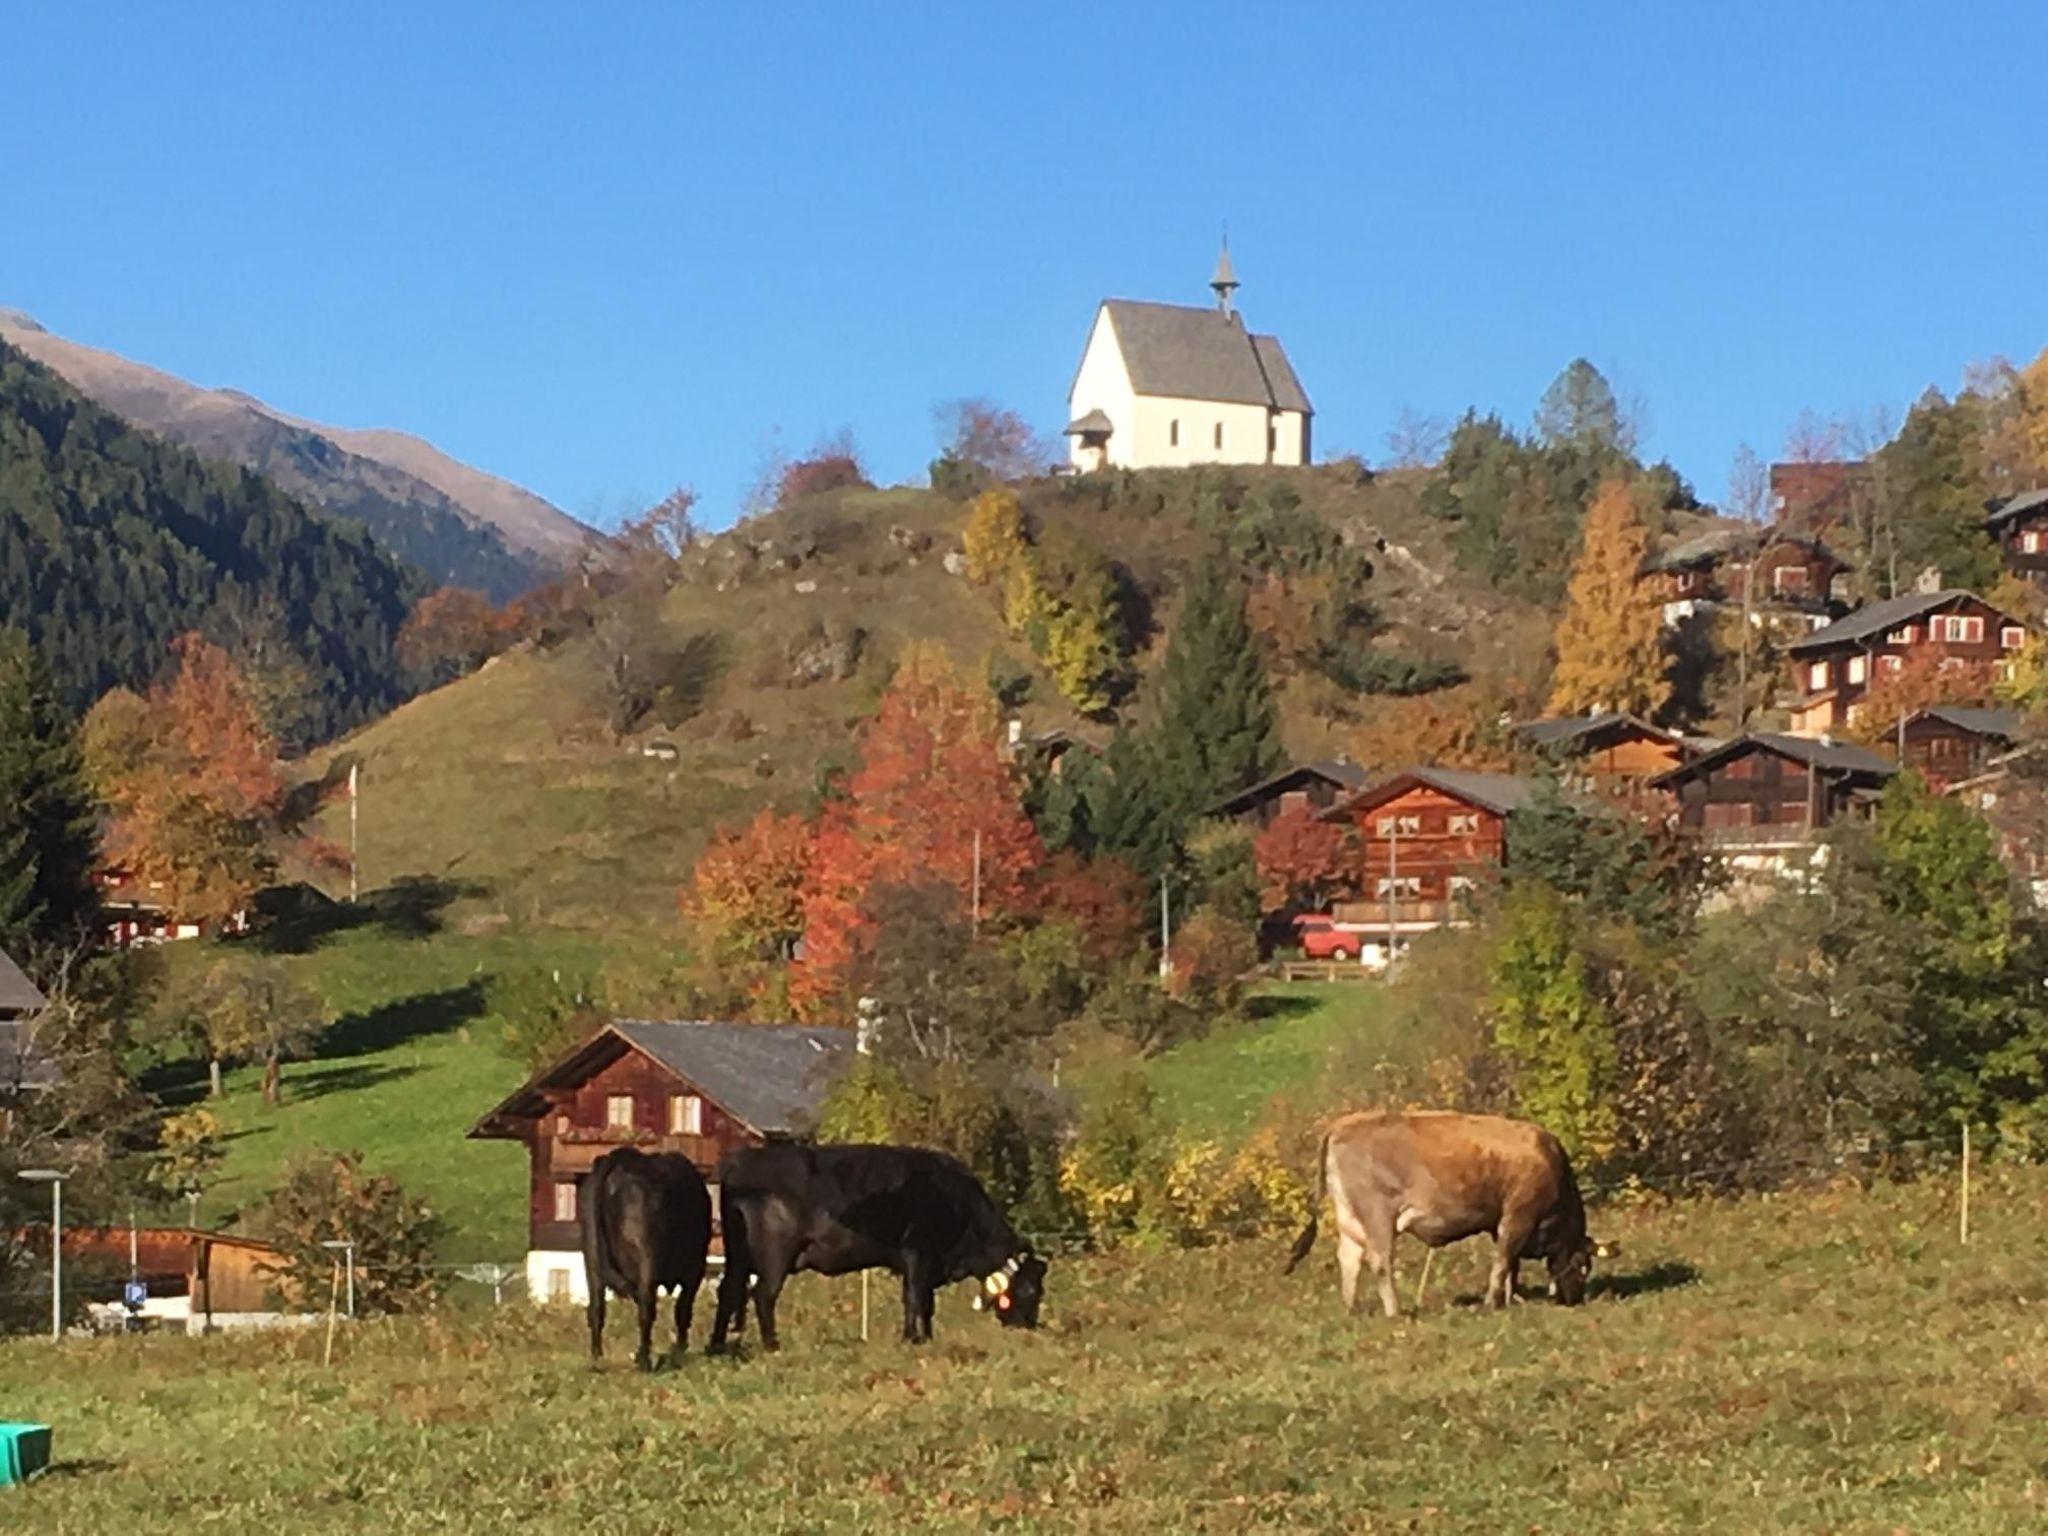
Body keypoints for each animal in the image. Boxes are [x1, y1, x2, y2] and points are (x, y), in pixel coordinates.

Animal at [581, 1146, 716, 1376]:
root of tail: (623, 1159)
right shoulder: (695, 1270)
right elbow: (683, 1310)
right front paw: (679, 1350)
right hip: (647, 1258)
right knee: (646, 1308)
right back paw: (645, 1361)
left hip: (591, 1257)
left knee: (596, 1309)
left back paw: (597, 1359)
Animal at [712, 1138, 1048, 1351]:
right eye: (1031, 1289)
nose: (1026, 1326)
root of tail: (741, 1160)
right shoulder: (917, 1255)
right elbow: (916, 1299)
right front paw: (913, 1339)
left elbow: (924, 1303)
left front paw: (923, 1337)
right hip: (774, 1256)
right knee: (762, 1295)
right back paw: (772, 1344)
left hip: (738, 1257)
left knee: (728, 1291)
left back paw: (717, 1345)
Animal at [1277, 1114, 1597, 1318]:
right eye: (1583, 1266)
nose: (1576, 1301)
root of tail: (1343, 1124)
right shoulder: (1518, 1215)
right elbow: (1504, 1261)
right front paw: (1492, 1303)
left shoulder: (1502, 1222)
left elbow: (1511, 1264)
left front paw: (1511, 1298)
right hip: (1378, 1215)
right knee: (1379, 1261)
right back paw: (1394, 1312)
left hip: (1349, 1217)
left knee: (1349, 1259)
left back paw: (1351, 1308)